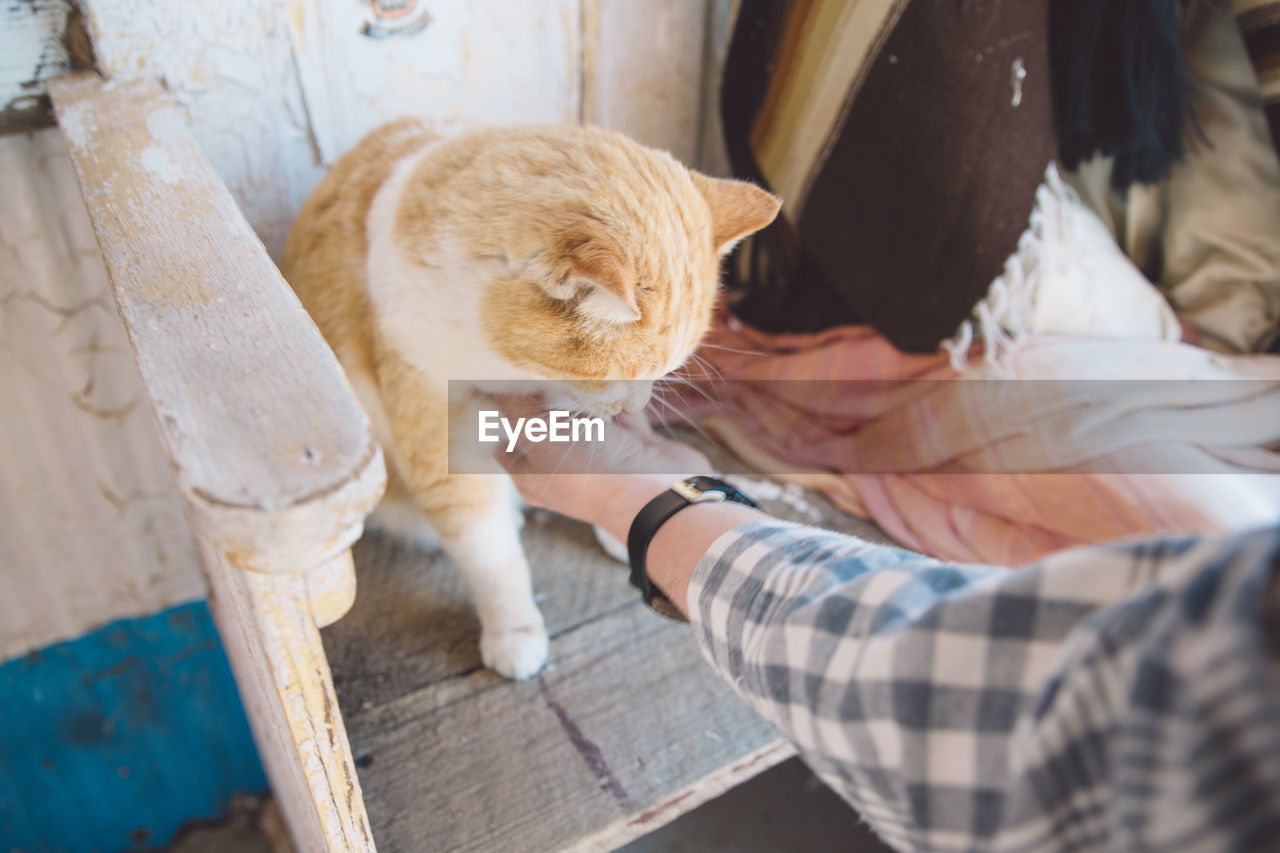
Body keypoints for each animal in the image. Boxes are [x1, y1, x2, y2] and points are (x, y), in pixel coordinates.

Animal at [284, 119, 773, 676]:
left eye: (664, 372)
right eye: (622, 377)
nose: (634, 408)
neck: (510, 371)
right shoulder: (444, 442)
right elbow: (492, 559)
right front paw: (514, 631)